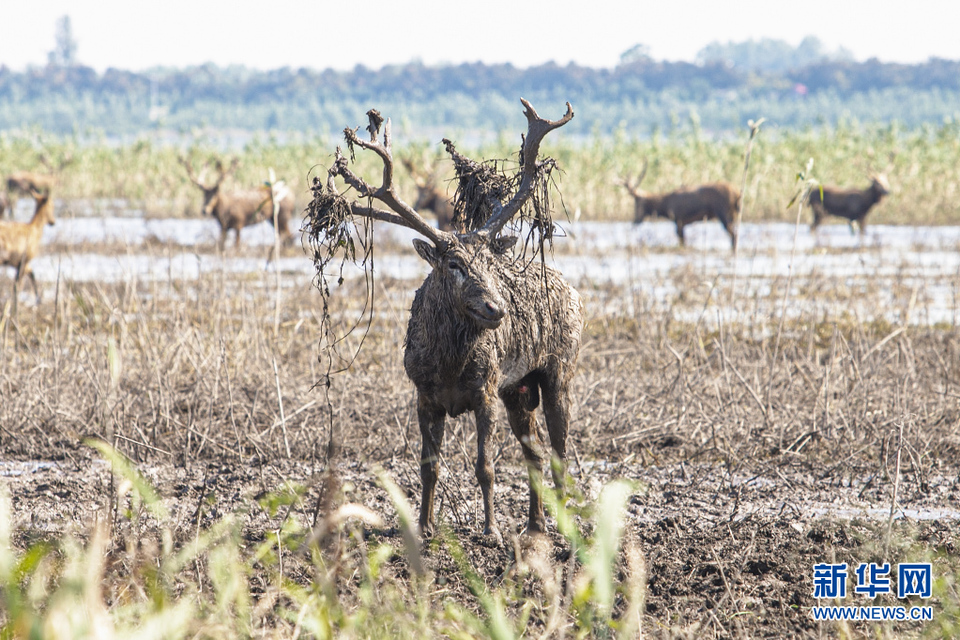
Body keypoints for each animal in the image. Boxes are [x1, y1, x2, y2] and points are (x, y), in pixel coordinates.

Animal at [314, 101, 584, 544]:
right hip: (518, 388)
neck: (450, 364)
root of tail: (572, 289)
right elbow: (430, 466)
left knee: (560, 449)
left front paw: (490, 529)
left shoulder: (486, 390)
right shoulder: (424, 394)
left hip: (560, 368)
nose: (496, 308)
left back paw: (561, 525)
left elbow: (485, 467)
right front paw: (425, 526)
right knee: (536, 452)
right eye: (454, 264)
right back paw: (535, 524)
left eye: (490, 262)